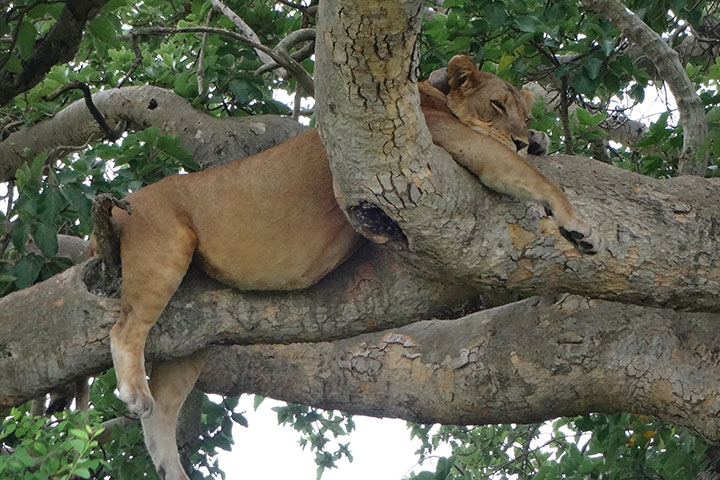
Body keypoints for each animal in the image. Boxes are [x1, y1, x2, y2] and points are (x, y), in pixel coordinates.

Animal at [98, 54, 600, 478]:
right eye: (496, 105)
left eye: (525, 115)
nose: (522, 137)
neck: (435, 95)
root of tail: (125, 205)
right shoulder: (448, 143)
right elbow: (535, 178)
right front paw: (576, 223)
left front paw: (542, 146)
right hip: (164, 250)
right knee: (125, 330)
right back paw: (135, 394)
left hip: (196, 335)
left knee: (163, 414)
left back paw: (170, 464)